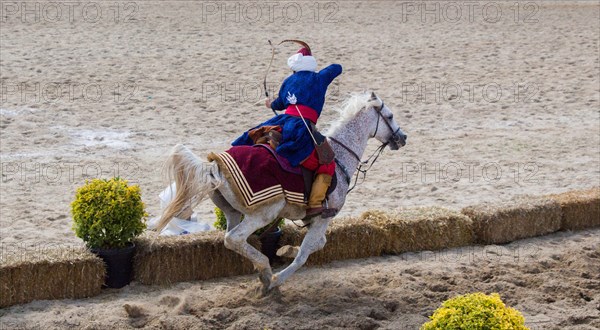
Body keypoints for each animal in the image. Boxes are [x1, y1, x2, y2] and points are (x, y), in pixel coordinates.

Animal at [155, 92, 408, 294]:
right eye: (390, 116)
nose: (402, 137)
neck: (339, 155)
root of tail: (215, 166)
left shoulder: (315, 220)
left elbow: (318, 244)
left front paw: (286, 251)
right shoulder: (323, 218)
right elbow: (305, 253)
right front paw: (279, 277)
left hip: (232, 212)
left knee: (232, 240)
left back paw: (262, 268)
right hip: (262, 213)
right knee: (233, 238)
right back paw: (266, 270)